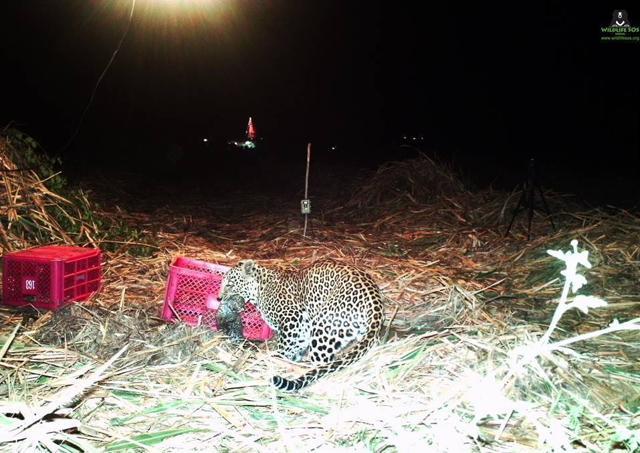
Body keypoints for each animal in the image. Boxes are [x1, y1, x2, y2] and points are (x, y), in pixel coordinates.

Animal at [219, 259, 385, 391]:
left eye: (230, 285)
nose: (219, 297)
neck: (260, 289)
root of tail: (374, 299)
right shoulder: (302, 328)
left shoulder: (292, 319)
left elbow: (284, 346)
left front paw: (276, 359)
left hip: (322, 328)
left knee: (321, 362)